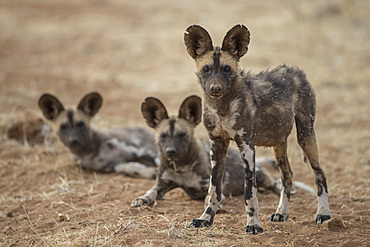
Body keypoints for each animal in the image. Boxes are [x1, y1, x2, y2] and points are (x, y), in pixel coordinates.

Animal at [132, 95, 290, 209]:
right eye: (163, 136)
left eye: (182, 135)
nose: (171, 151)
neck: (181, 168)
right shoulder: (161, 185)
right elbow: (151, 192)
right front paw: (142, 198)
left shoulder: (210, 185)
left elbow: (209, 197)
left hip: (257, 174)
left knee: (274, 181)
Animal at [185, 24, 332, 233]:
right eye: (206, 69)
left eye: (227, 69)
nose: (215, 88)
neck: (222, 107)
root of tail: (297, 71)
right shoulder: (217, 145)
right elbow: (214, 189)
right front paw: (205, 218)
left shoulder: (246, 145)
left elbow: (250, 191)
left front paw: (253, 224)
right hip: (279, 144)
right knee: (287, 176)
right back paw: (281, 213)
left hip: (306, 135)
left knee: (320, 174)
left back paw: (323, 213)